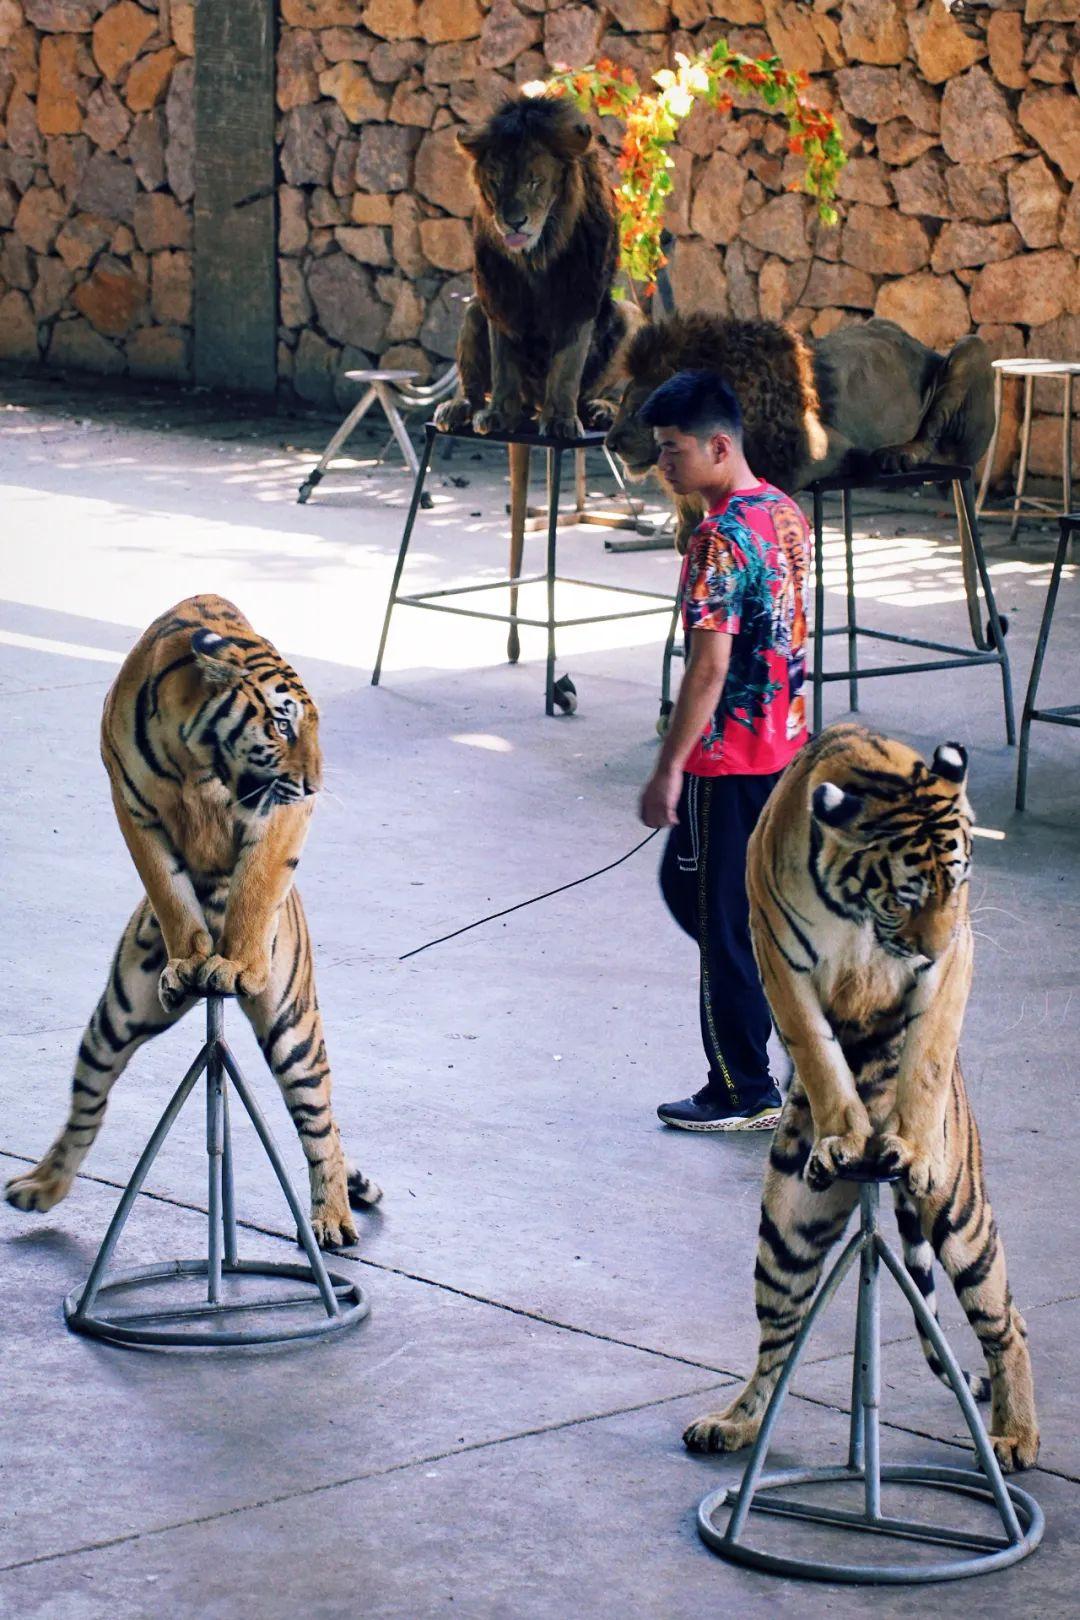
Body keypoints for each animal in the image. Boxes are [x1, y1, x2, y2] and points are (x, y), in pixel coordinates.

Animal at [5, 602, 380, 1244]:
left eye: (309, 728)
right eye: (283, 726)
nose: (315, 783)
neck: (196, 758)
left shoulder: (280, 812)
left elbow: (256, 882)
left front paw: (236, 962)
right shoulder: (132, 805)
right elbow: (169, 888)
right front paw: (190, 959)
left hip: (295, 1031)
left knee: (321, 1126)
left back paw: (332, 1219)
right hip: (115, 1017)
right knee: (88, 1105)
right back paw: (41, 1187)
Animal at [433, 97, 647, 440]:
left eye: (535, 181)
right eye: (496, 180)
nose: (514, 221)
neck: (536, 254)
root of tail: (533, 402)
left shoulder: (579, 295)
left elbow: (567, 367)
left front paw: (560, 419)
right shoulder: (498, 294)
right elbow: (503, 363)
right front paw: (498, 414)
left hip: (632, 315)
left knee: (610, 392)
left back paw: (600, 409)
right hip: (474, 309)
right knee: (473, 382)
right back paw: (459, 407)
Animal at [608, 312, 997, 547]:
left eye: (644, 408)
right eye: (624, 399)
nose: (611, 443)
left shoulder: (826, 449)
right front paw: (687, 528)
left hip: (973, 349)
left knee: (935, 441)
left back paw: (898, 455)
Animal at [683, 729, 1036, 1477]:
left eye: (958, 884)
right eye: (905, 894)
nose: (935, 940)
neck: (858, 913)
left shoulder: (953, 957)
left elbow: (925, 1053)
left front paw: (911, 1140)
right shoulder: (780, 960)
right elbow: (820, 1057)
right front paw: (842, 1136)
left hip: (962, 1221)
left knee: (1008, 1321)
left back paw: (1017, 1436)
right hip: (786, 1231)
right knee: (778, 1340)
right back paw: (735, 1424)